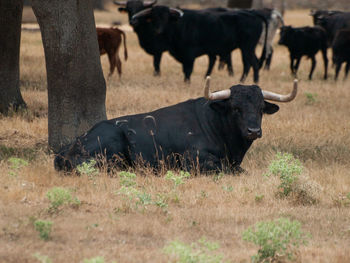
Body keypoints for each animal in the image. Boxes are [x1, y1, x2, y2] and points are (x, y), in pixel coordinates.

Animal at [131, 5, 268, 82]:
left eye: (166, 16)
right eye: (153, 17)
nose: (158, 30)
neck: (178, 25)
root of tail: (252, 13)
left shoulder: (189, 55)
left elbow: (188, 71)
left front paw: (187, 83)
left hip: (247, 47)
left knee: (254, 64)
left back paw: (254, 82)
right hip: (247, 48)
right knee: (248, 64)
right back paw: (243, 81)